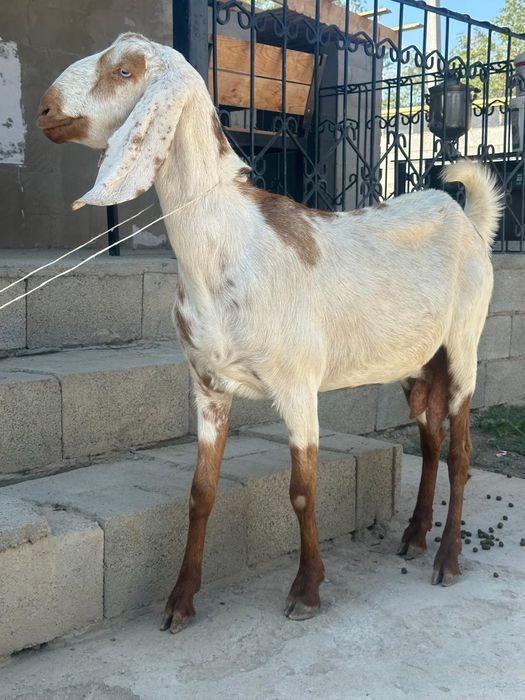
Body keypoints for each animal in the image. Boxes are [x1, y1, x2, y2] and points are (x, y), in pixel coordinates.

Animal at [38, 33, 502, 633]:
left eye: (123, 71)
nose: (45, 109)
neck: (229, 245)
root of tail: (468, 219)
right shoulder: (208, 386)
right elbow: (200, 493)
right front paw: (180, 600)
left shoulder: (297, 386)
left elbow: (302, 491)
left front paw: (307, 590)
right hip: (417, 364)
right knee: (429, 440)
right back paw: (415, 536)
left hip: (464, 344)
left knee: (461, 453)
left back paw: (447, 560)